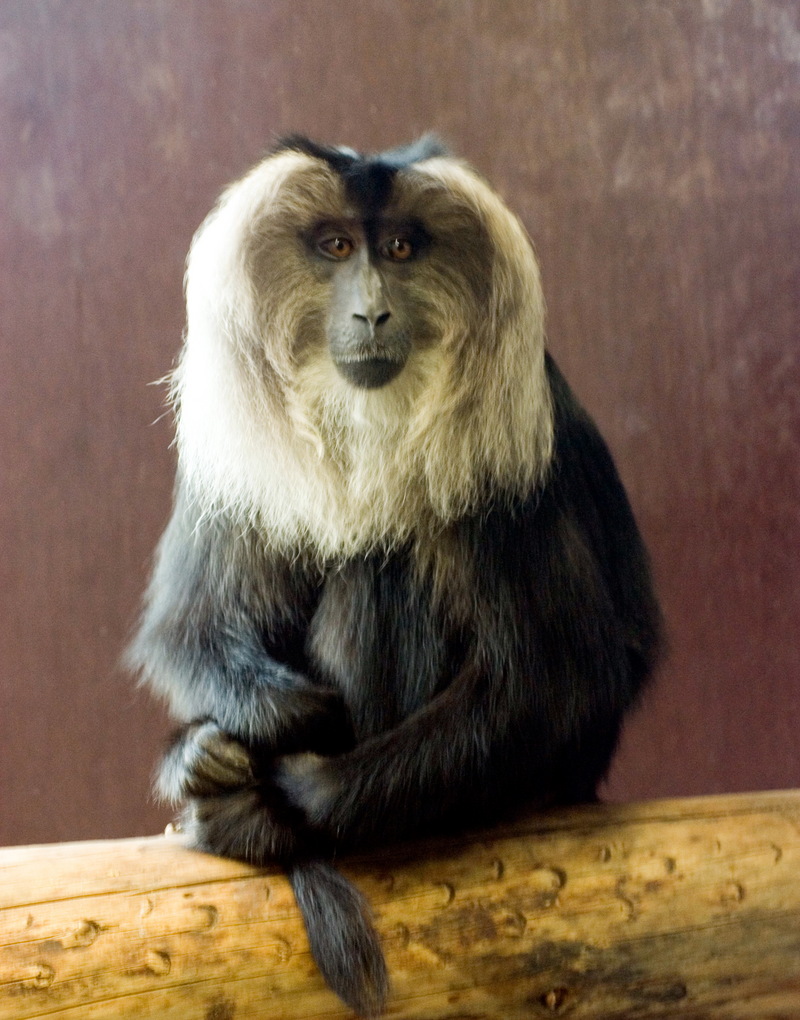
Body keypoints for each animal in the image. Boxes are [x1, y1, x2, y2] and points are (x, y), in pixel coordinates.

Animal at [126, 133, 661, 1011]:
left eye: (403, 249)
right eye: (338, 247)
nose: (372, 312)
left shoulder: (510, 441)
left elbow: (556, 681)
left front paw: (286, 792)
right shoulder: (233, 454)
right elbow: (190, 628)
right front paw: (218, 746)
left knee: (382, 574)